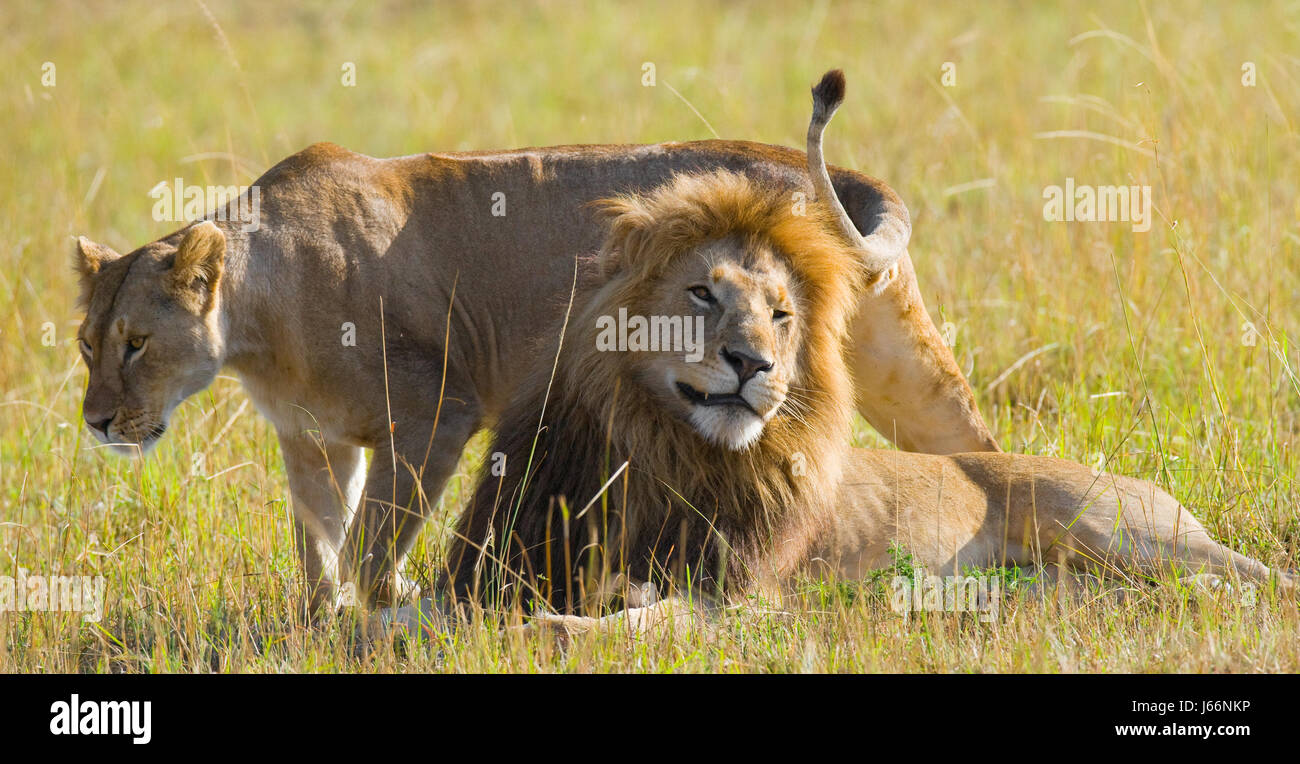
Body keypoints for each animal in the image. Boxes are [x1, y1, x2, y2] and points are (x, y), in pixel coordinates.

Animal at [72, 71, 996, 614]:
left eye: (136, 343)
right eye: (87, 345)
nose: (95, 423)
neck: (260, 326)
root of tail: (839, 179)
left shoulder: (432, 416)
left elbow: (375, 540)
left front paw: (391, 603)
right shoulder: (314, 444)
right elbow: (319, 548)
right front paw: (321, 622)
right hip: (900, 370)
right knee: (972, 448)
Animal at [437, 72, 1293, 637]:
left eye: (783, 316)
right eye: (702, 294)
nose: (754, 365)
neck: (660, 448)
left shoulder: (737, 598)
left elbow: (595, 628)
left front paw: (529, 634)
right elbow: (427, 613)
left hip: (1121, 528)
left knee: (1262, 577)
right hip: (1056, 581)